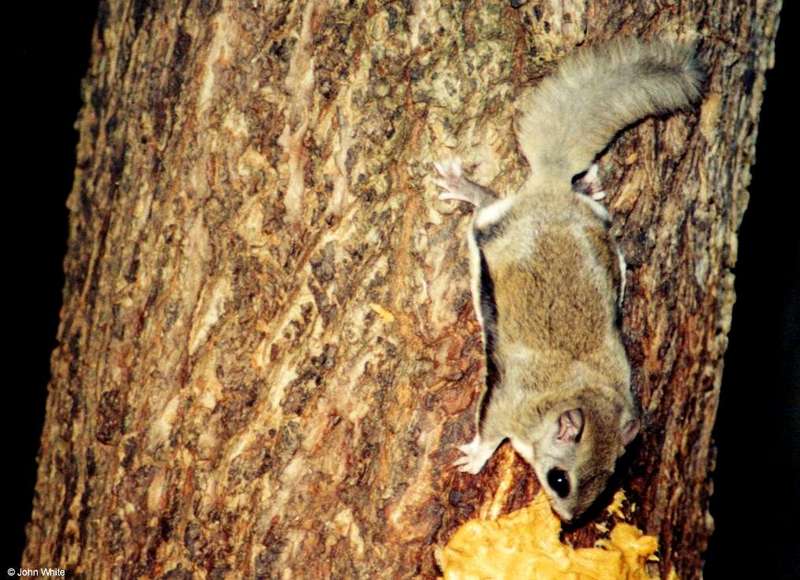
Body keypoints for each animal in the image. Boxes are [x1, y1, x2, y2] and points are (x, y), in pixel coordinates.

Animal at [434, 38, 704, 524]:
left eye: (608, 480)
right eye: (559, 479)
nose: (570, 520)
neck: (576, 393)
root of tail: (552, 190)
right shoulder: (506, 406)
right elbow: (489, 434)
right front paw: (474, 458)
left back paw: (586, 186)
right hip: (494, 225)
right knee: (486, 202)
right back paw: (464, 187)